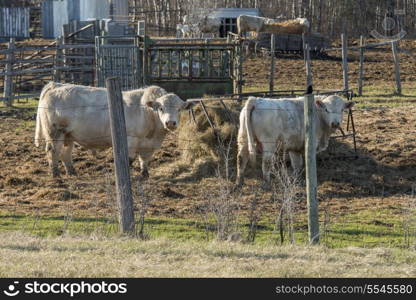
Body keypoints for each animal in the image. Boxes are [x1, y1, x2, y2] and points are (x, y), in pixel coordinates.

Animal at [35, 82, 194, 178]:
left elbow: (144, 160)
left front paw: (145, 175)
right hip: (55, 132)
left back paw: (72, 172)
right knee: (53, 151)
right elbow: (129, 159)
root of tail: (56, 85)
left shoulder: (148, 145)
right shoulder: (129, 140)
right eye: (161, 108)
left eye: (179, 109)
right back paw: (56, 175)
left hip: (68, 135)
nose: (170, 122)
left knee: (65, 153)